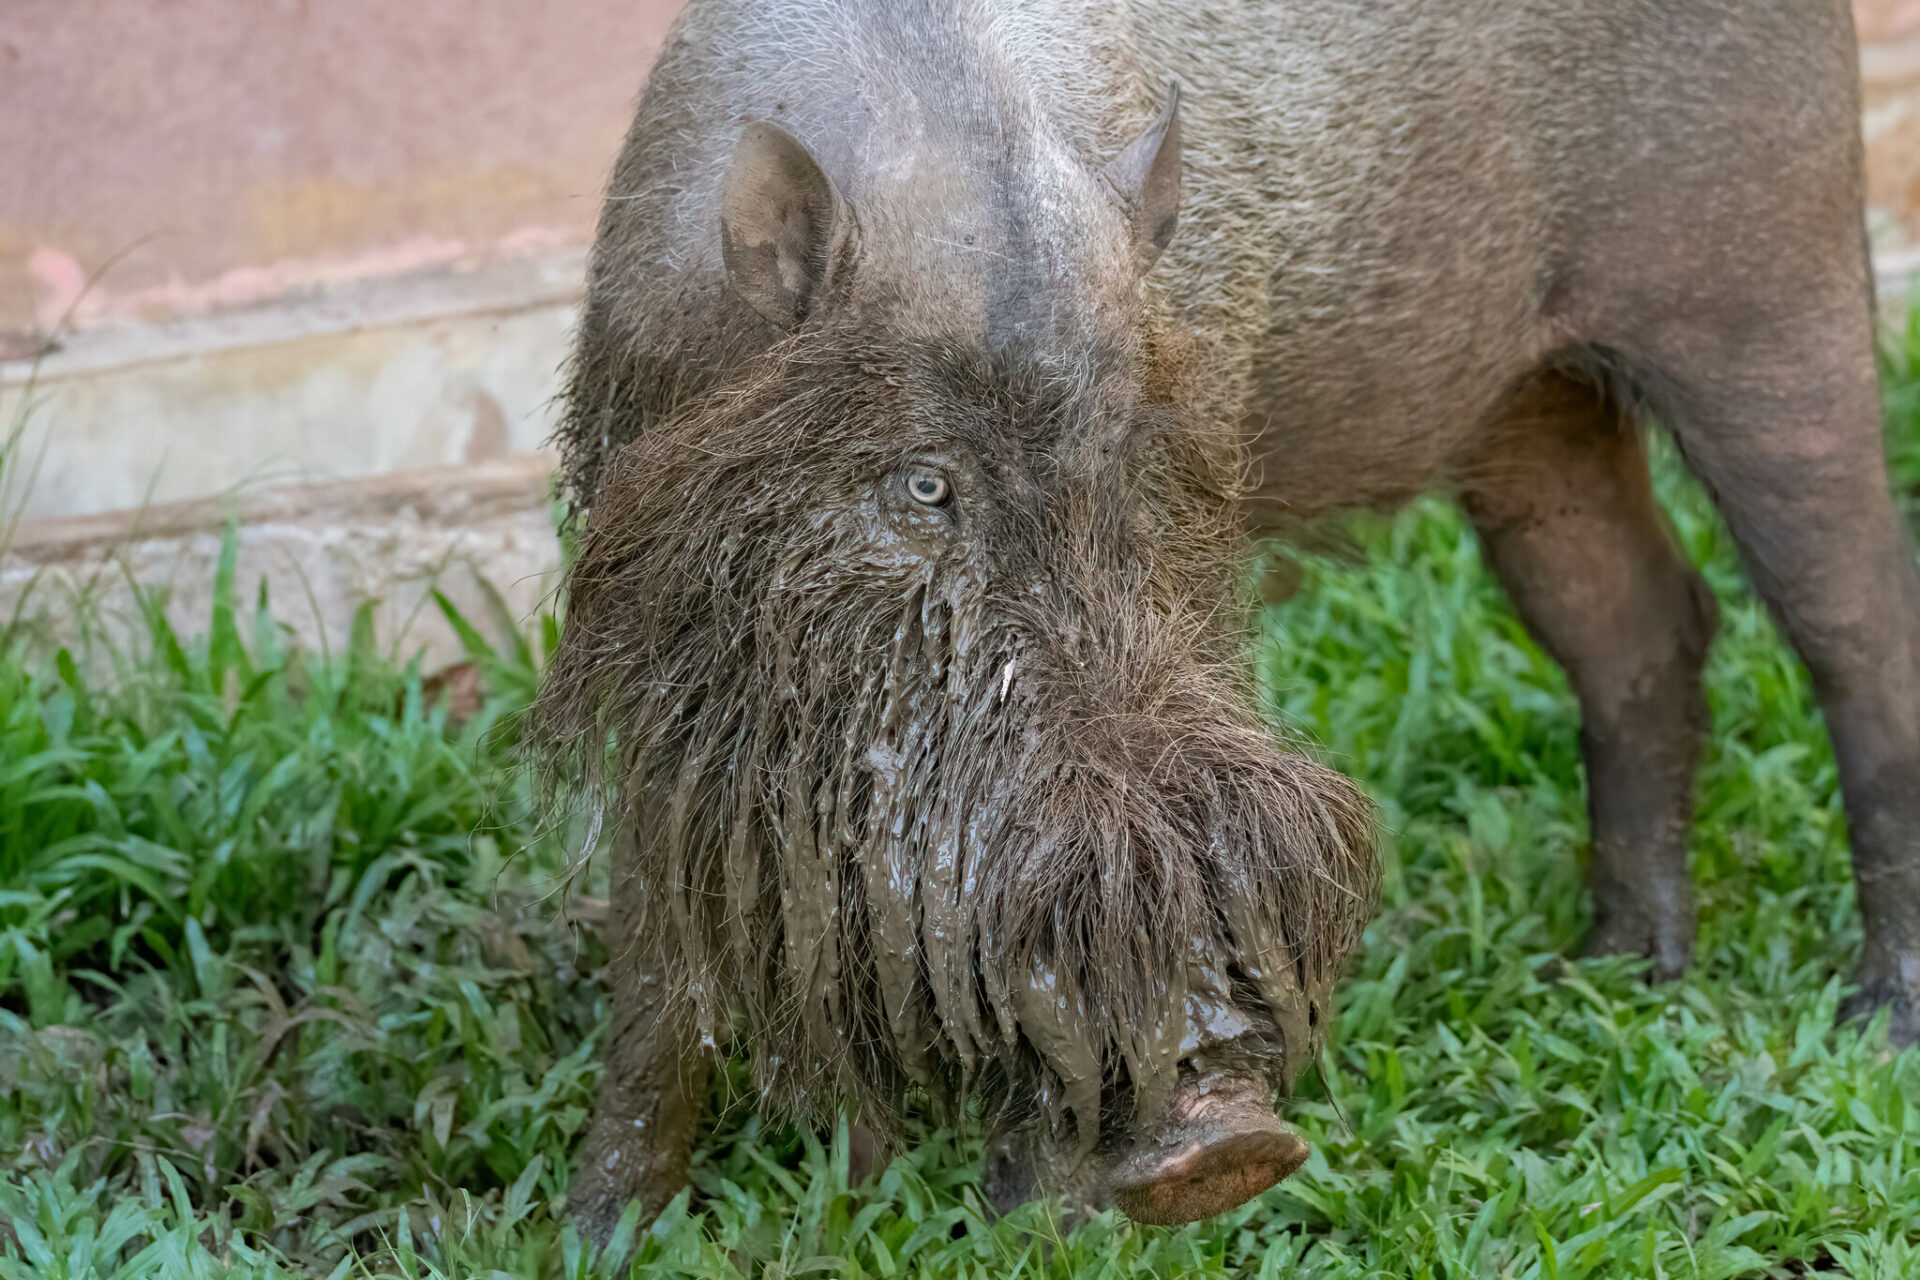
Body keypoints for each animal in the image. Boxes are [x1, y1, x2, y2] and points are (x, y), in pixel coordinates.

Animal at [534, 0, 1920, 1240]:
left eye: (1141, 459)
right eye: (923, 485)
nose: (1231, 1141)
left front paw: (1037, 1221)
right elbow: (663, 953)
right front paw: (611, 1233)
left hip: (1772, 295)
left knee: (1856, 632)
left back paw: (1875, 1020)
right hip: (1535, 408)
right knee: (1644, 624)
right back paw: (1613, 969)